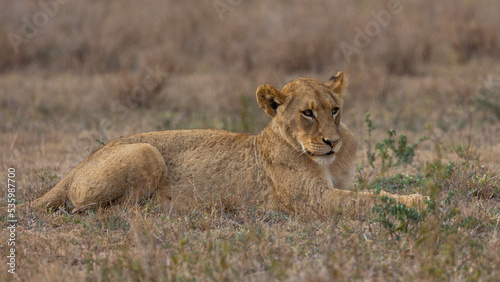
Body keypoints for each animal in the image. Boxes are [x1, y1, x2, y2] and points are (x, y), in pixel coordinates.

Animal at [29, 72, 424, 214]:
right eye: (308, 113)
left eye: (335, 109)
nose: (332, 142)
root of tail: (76, 167)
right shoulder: (312, 199)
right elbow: (367, 198)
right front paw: (418, 200)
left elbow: (366, 191)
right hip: (145, 151)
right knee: (109, 210)